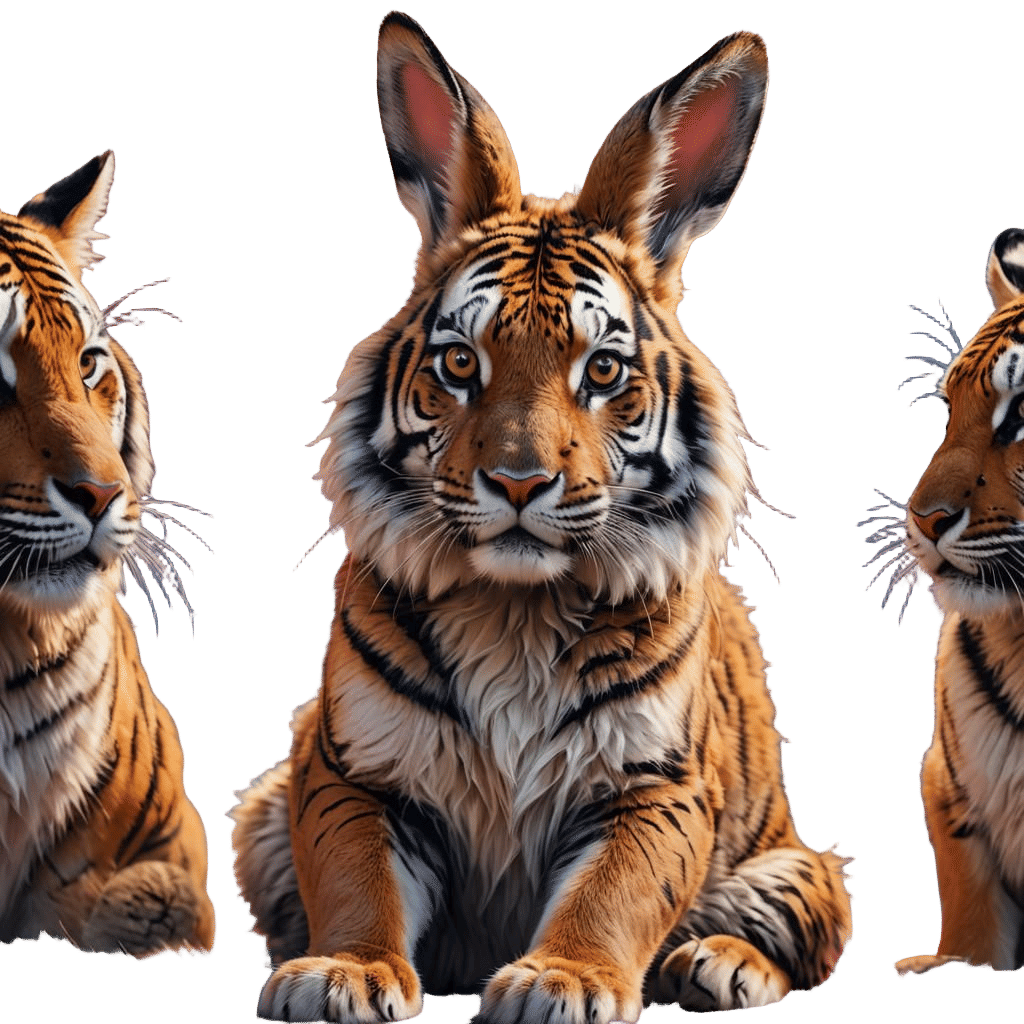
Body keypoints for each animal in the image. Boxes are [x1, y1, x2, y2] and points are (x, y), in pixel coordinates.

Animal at [230, 12, 852, 1022]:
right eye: (459, 364)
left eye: (601, 370)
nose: (519, 482)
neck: (511, 613)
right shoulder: (351, 772)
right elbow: (356, 881)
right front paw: (345, 972)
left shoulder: (656, 784)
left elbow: (614, 891)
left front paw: (562, 979)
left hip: (796, 864)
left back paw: (718, 965)